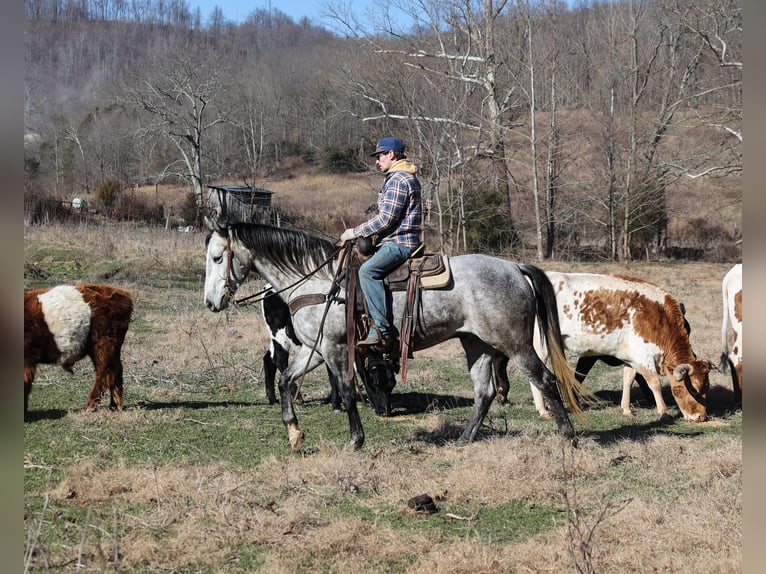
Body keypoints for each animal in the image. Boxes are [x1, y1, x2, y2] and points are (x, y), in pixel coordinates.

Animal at [203, 220, 585, 452]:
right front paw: (295, 433)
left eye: (218, 257)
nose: (211, 302)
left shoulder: (335, 348)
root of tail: (514, 268)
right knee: (485, 392)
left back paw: (568, 437)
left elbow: (346, 391)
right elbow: (286, 381)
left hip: (515, 344)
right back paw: (463, 439)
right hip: (477, 344)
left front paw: (355, 440)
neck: (318, 282)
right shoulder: (316, 350)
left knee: (545, 380)